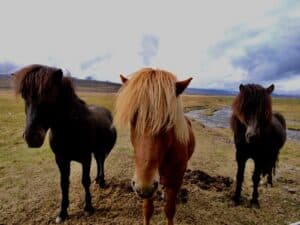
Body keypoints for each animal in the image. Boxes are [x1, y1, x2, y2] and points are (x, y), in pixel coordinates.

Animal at [12, 64, 117, 223]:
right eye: (24, 96)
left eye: (48, 95)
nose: (32, 137)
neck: (70, 128)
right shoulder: (61, 159)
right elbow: (64, 184)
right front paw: (62, 213)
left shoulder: (85, 158)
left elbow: (85, 180)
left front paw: (88, 208)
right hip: (97, 150)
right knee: (100, 161)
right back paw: (98, 180)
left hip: (101, 149)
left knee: (101, 161)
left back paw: (102, 181)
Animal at [114, 67, 195, 224]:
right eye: (132, 118)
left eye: (169, 120)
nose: (143, 186)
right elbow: (147, 210)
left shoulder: (174, 180)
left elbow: (170, 210)